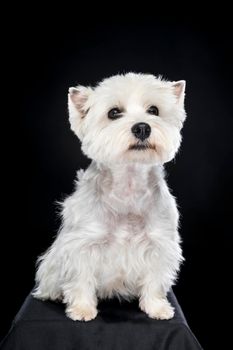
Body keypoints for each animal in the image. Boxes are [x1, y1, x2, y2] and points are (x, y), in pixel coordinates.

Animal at [32, 72, 186, 322]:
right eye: (114, 112)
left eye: (153, 110)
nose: (142, 128)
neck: (129, 183)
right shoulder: (83, 244)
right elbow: (81, 278)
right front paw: (82, 310)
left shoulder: (159, 244)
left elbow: (154, 280)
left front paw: (157, 308)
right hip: (52, 264)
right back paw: (54, 294)